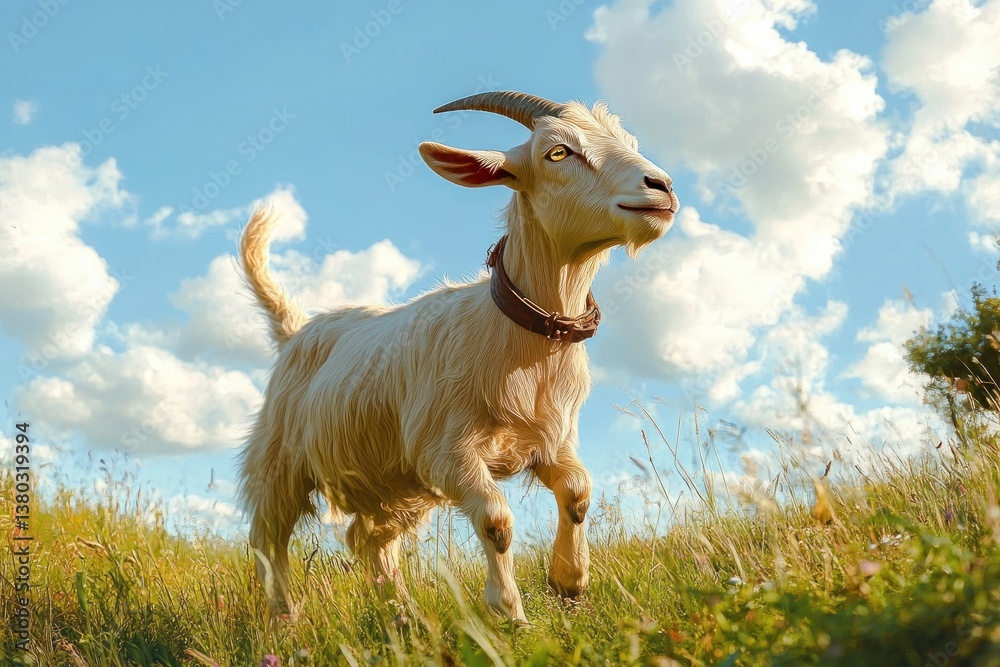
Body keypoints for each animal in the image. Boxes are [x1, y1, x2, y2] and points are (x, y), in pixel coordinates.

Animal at [236, 91, 678, 623]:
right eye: (557, 152)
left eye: (628, 141)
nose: (662, 186)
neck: (523, 346)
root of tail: (295, 329)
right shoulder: (445, 452)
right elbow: (496, 520)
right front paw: (508, 610)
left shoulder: (551, 440)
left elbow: (578, 491)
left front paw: (569, 582)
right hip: (279, 459)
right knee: (268, 538)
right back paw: (286, 620)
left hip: (395, 481)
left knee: (367, 538)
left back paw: (402, 614)